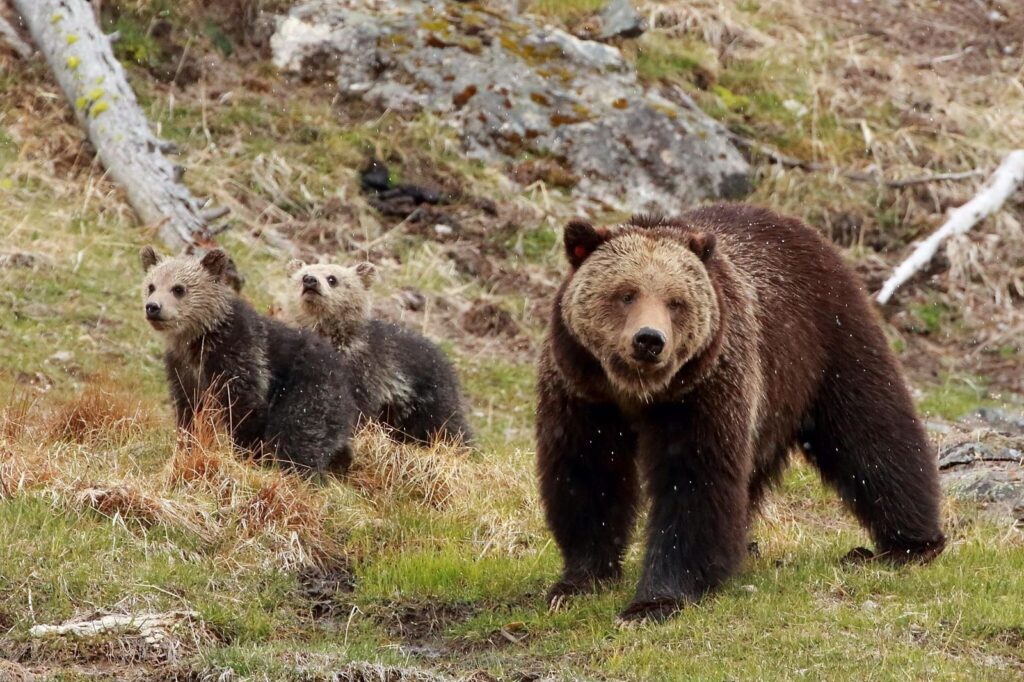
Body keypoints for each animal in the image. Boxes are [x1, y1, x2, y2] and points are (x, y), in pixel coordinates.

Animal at [141, 246, 358, 474]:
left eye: (178, 289)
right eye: (151, 286)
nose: (153, 307)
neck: (199, 339)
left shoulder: (240, 354)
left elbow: (244, 408)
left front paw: (246, 455)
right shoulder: (182, 369)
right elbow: (189, 411)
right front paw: (187, 448)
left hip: (309, 389)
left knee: (299, 431)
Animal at [536, 203, 945, 622]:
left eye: (675, 301)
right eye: (626, 293)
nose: (649, 340)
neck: (637, 393)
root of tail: (798, 226)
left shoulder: (702, 393)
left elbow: (694, 484)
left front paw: (654, 601)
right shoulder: (584, 396)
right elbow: (589, 476)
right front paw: (579, 581)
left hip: (826, 339)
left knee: (872, 433)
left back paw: (908, 542)